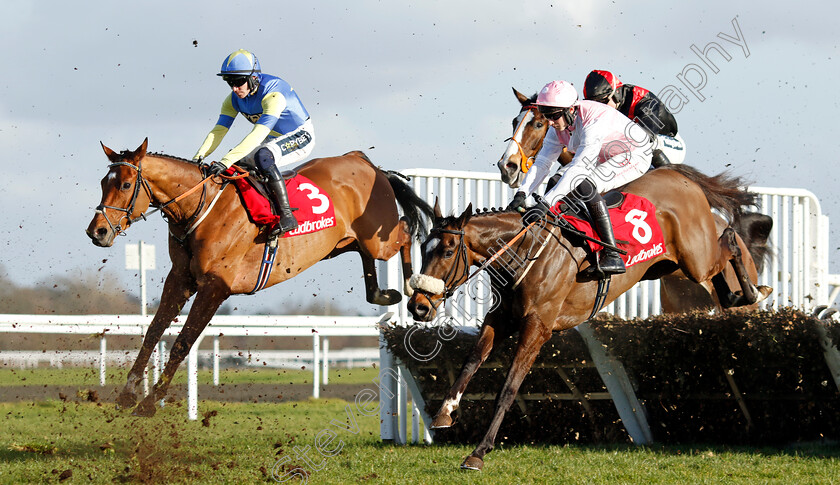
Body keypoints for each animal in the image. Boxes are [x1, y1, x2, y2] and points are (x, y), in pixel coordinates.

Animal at [86, 137, 434, 416]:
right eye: (103, 183)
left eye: (126, 185)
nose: (97, 232)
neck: (199, 210)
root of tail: (364, 162)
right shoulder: (180, 280)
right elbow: (153, 332)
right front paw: (127, 394)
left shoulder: (215, 287)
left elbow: (182, 343)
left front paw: (148, 403)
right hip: (345, 242)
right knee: (369, 251)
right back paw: (380, 293)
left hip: (379, 239)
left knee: (405, 230)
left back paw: (414, 286)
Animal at [410, 163, 772, 468]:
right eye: (423, 249)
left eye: (446, 251)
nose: (418, 305)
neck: (527, 251)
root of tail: (675, 174)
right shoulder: (500, 318)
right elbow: (471, 361)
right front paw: (445, 413)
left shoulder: (538, 327)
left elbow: (509, 388)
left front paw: (479, 452)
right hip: (669, 268)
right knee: (720, 266)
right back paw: (736, 296)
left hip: (695, 260)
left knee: (729, 242)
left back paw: (754, 291)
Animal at [496, 87, 772, 312]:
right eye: (515, 121)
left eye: (538, 124)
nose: (506, 166)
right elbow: (546, 165)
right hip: (680, 294)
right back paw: (736, 294)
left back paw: (753, 290)